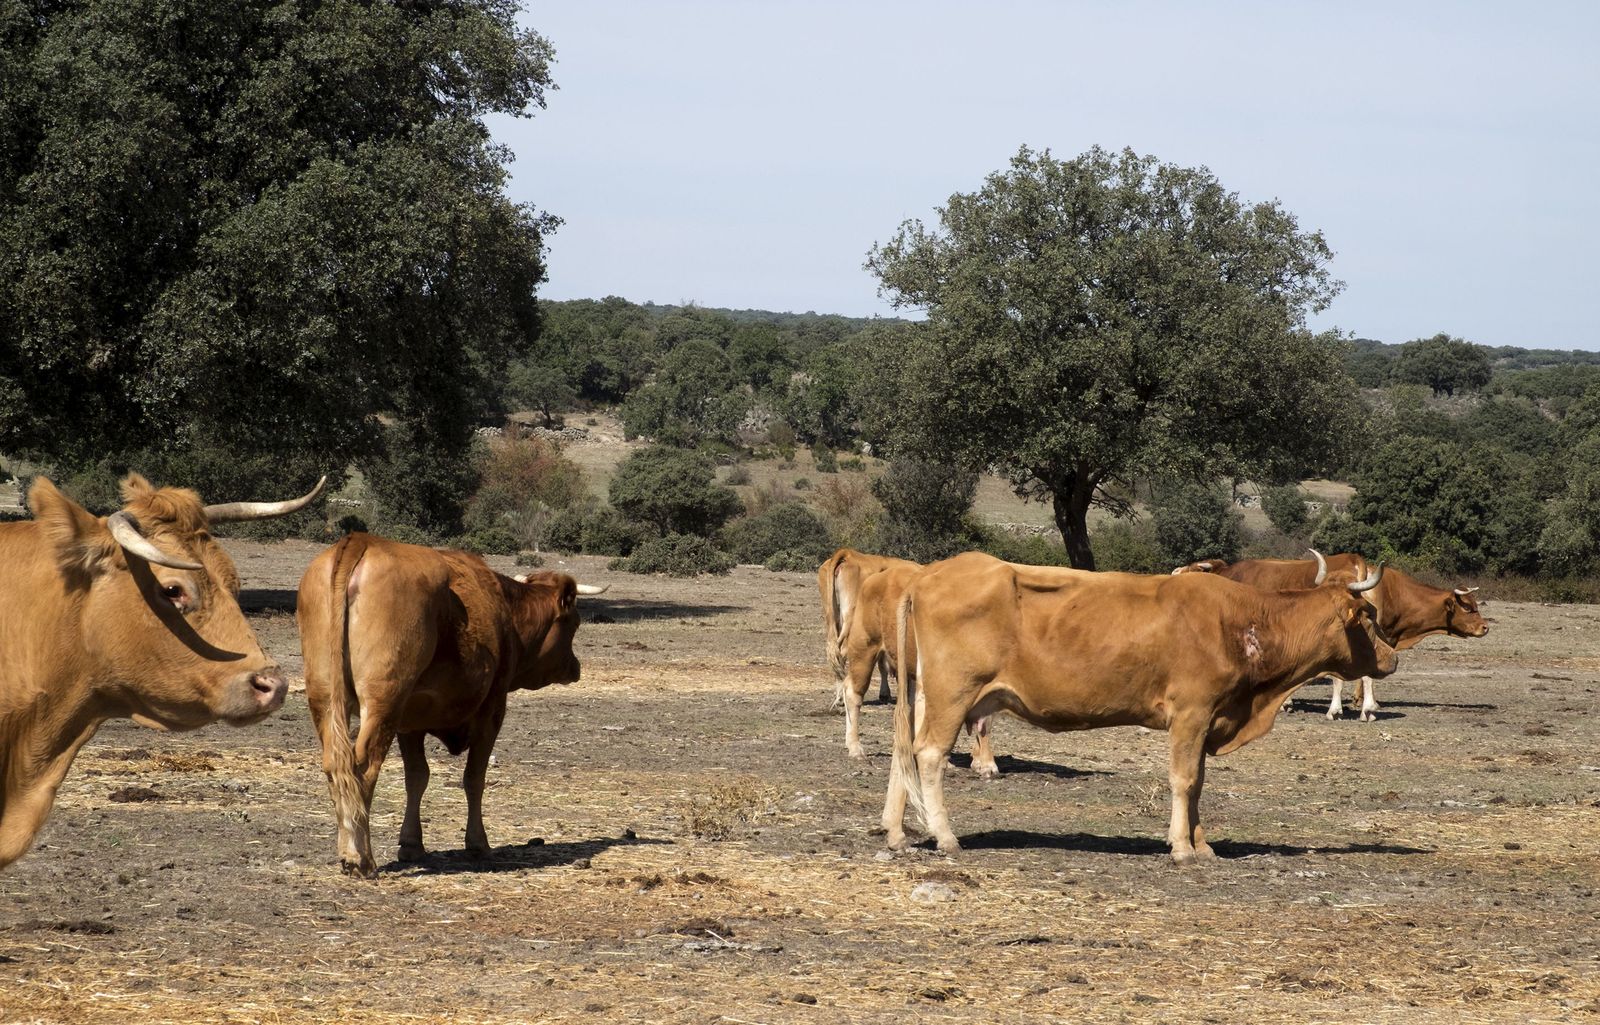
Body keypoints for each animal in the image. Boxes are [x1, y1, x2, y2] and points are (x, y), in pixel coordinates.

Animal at [297, 532, 605, 877]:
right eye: (574, 624)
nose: (575, 667)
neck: (505, 610)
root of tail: (362, 540)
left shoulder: (410, 720)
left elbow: (417, 777)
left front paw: (412, 844)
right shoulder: (492, 708)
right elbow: (474, 778)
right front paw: (478, 843)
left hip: (326, 699)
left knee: (335, 766)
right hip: (383, 702)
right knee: (362, 767)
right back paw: (360, 857)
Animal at [880, 552, 1398, 863]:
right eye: (1368, 616)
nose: (1393, 657)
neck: (1241, 623)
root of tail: (929, 574)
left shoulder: (1207, 719)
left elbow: (1199, 784)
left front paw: (1202, 844)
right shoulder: (1191, 713)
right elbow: (1184, 780)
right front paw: (1182, 848)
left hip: (927, 693)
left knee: (905, 752)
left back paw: (897, 832)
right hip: (954, 693)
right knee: (929, 755)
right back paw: (946, 837)